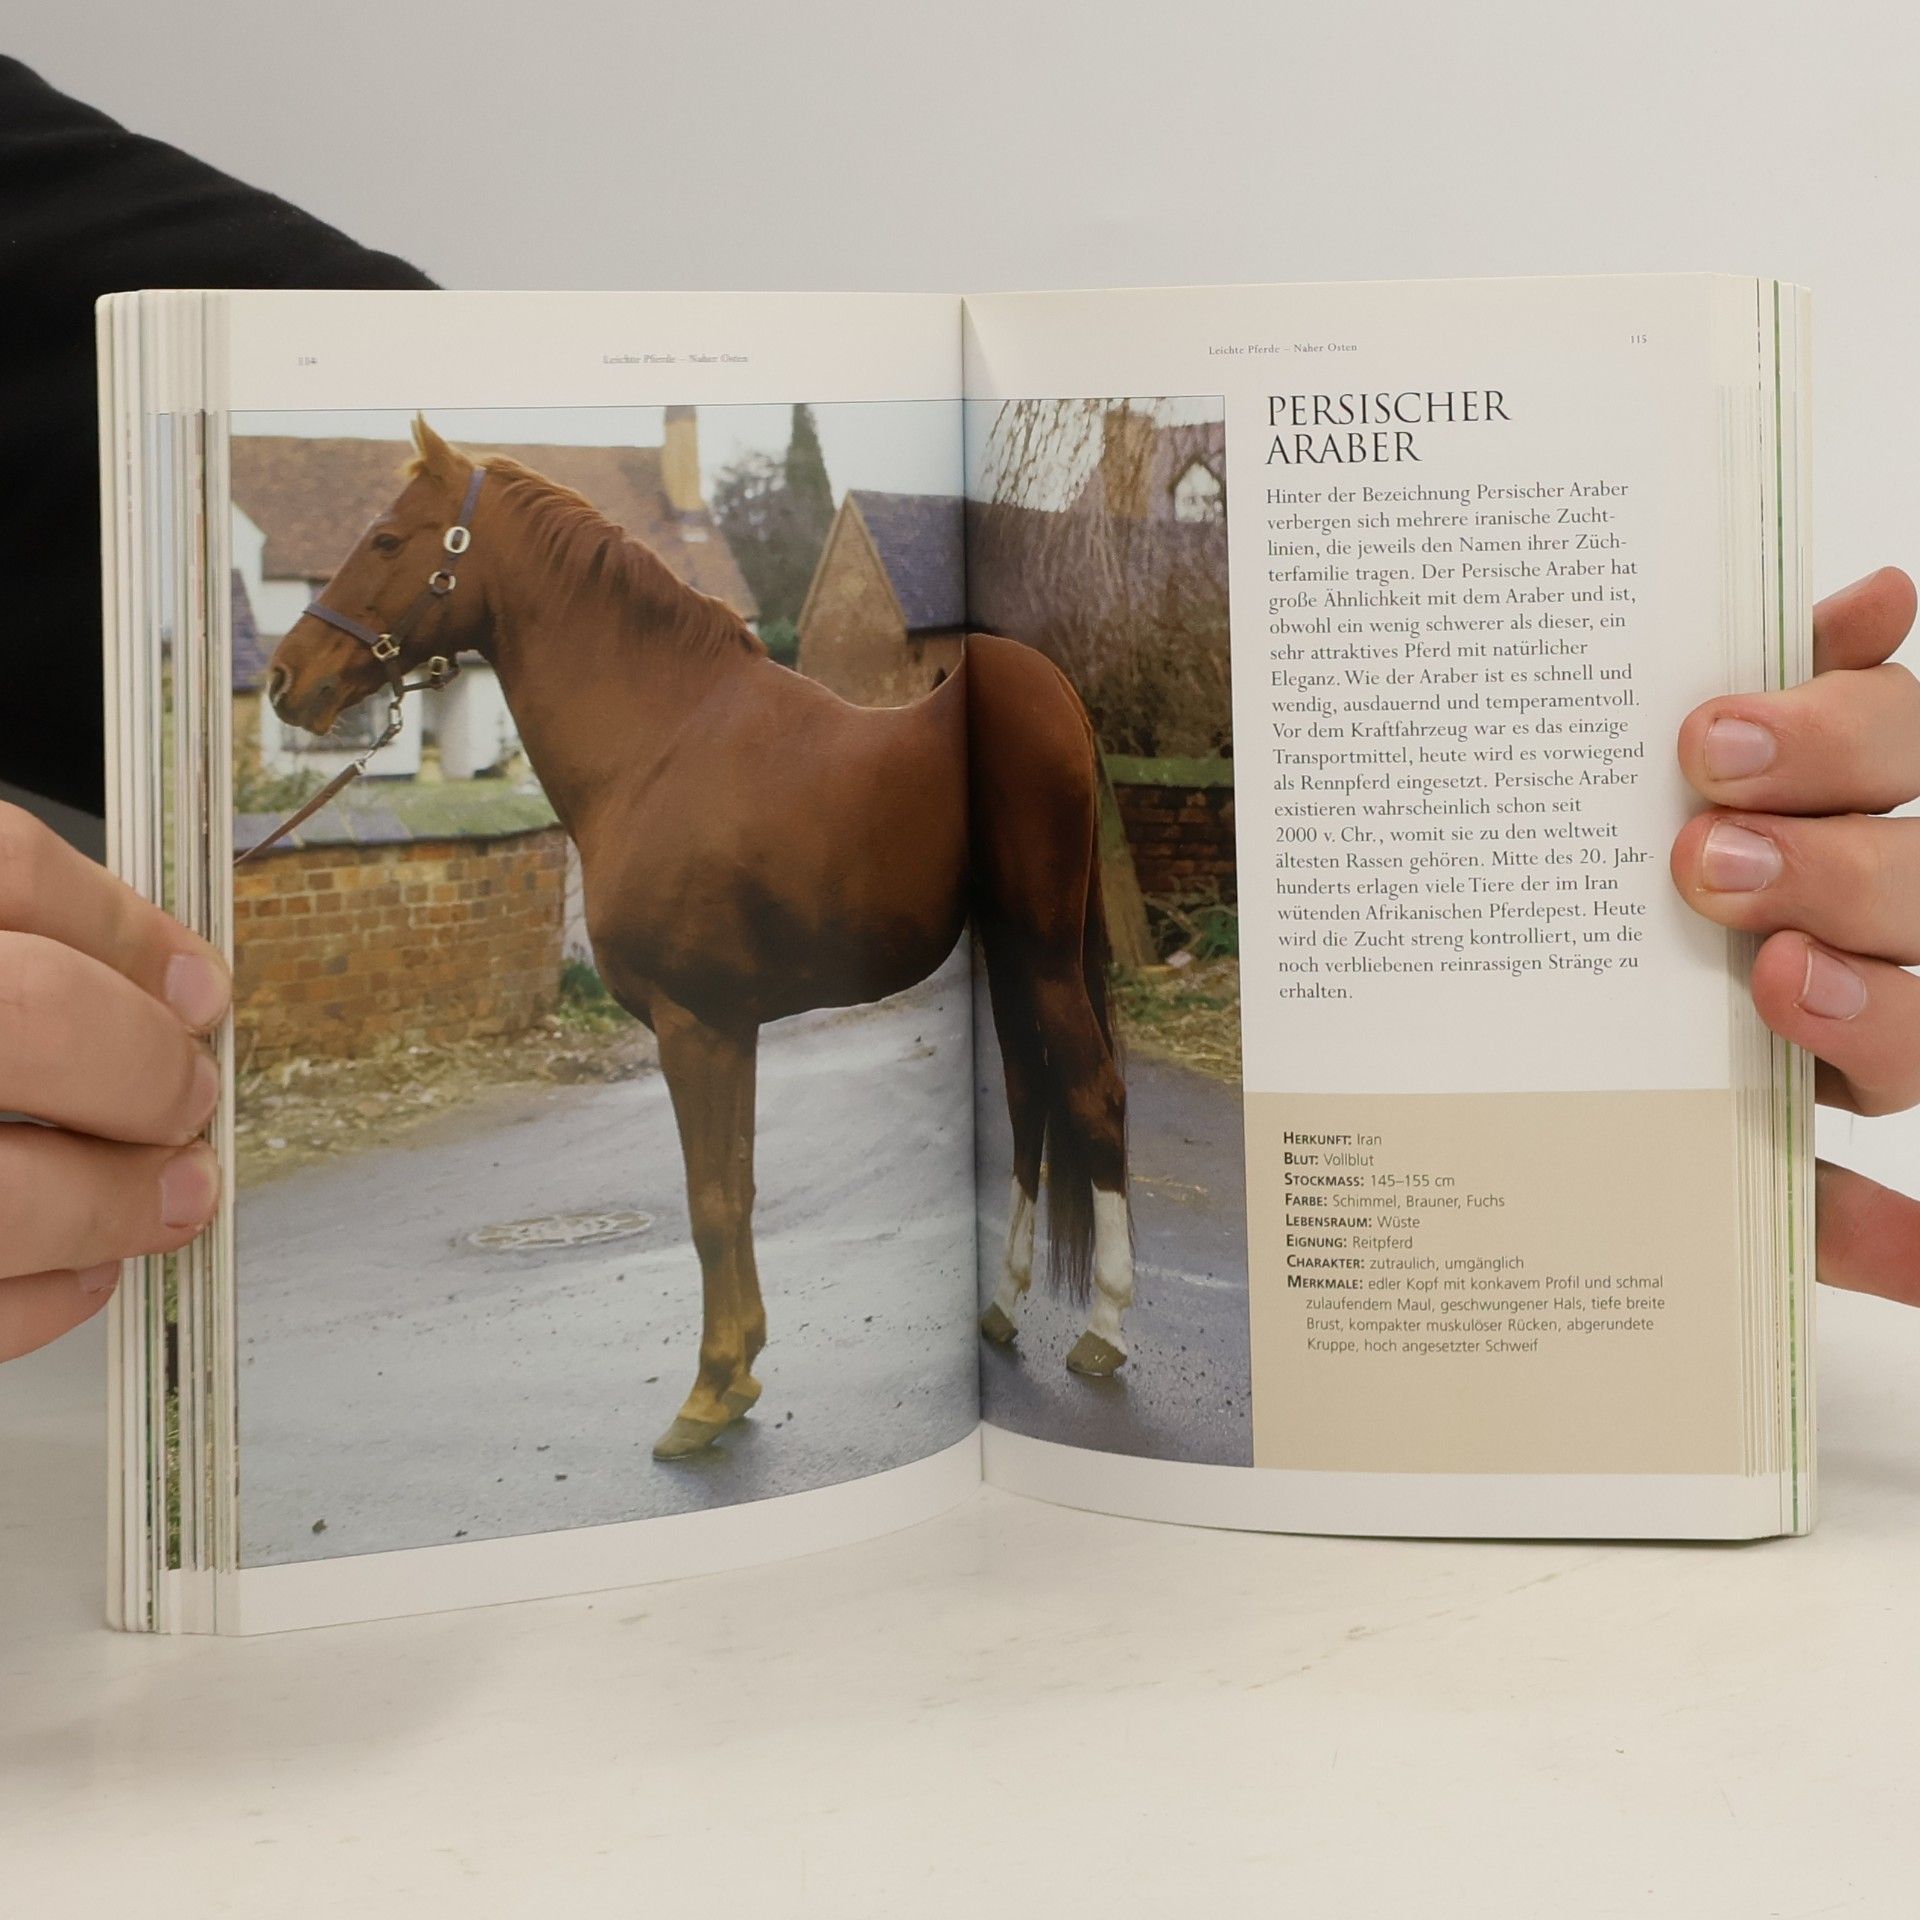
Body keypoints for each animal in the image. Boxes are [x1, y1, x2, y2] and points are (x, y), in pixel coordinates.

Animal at [264, 416, 1133, 1460]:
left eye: (388, 539)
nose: (285, 679)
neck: (661, 743)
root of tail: (1057, 692)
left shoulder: (692, 1024)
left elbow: (709, 1203)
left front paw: (709, 1393)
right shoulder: (734, 1027)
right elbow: (741, 1185)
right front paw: (745, 1366)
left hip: (1043, 954)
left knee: (1092, 1096)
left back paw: (1104, 1328)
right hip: (1012, 953)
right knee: (1028, 1097)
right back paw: (1001, 1305)